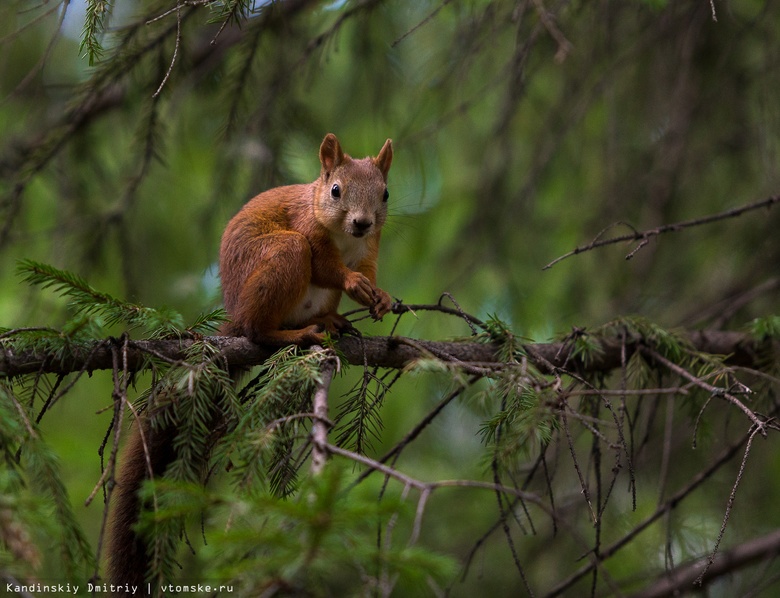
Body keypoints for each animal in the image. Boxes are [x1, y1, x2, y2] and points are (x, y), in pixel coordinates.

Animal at [106, 135, 394, 592]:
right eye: (335, 191)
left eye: (385, 193)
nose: (363, 223)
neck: (344, 236)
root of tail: (236, 313)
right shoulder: (308, 229)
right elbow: (327, 267)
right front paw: (351, 282)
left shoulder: (370, 248)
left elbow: (369, 269)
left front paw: (378, 296)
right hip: (279, 258)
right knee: (259, 330)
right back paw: (295, 335)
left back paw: (328, 321)